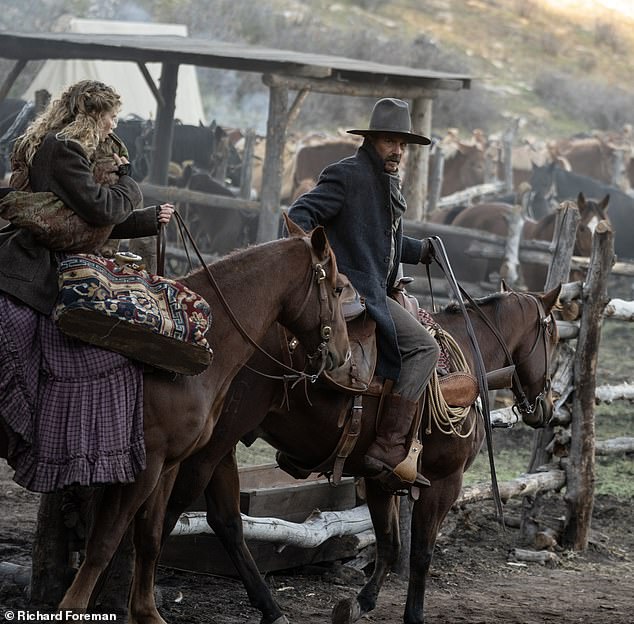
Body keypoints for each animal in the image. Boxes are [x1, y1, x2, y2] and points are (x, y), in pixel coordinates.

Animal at [51, 218, 350, 616]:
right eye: (338, 287)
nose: (343, 355)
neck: (207, 341)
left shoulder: (168, 464)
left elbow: (148, 536)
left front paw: (145, 611)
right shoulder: (146, 464)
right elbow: (106, 541)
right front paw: (73, 606)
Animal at [153, 284, 556, 624]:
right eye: (552, 334)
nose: (547, 407)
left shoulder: (378, 478)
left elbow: (390, 544)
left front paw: (361, 603)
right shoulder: (445, 481)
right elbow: (421, 552)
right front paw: (413, 615)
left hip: (222, 448)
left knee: (226, 522)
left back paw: (270, 608)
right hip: (213, 444)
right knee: (171, 510)